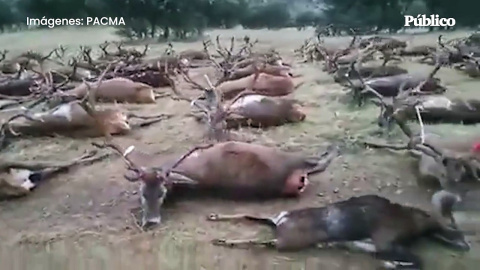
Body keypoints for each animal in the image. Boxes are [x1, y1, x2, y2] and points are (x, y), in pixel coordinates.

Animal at [206, 190, 468, 270]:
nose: (465, 244)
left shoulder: (380, 245)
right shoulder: (385, 243)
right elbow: (416, 261)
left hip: (277, 227)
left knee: (250, 222)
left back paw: (217, 224)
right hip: (282, 239)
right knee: (254, 237)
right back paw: (221, 237)